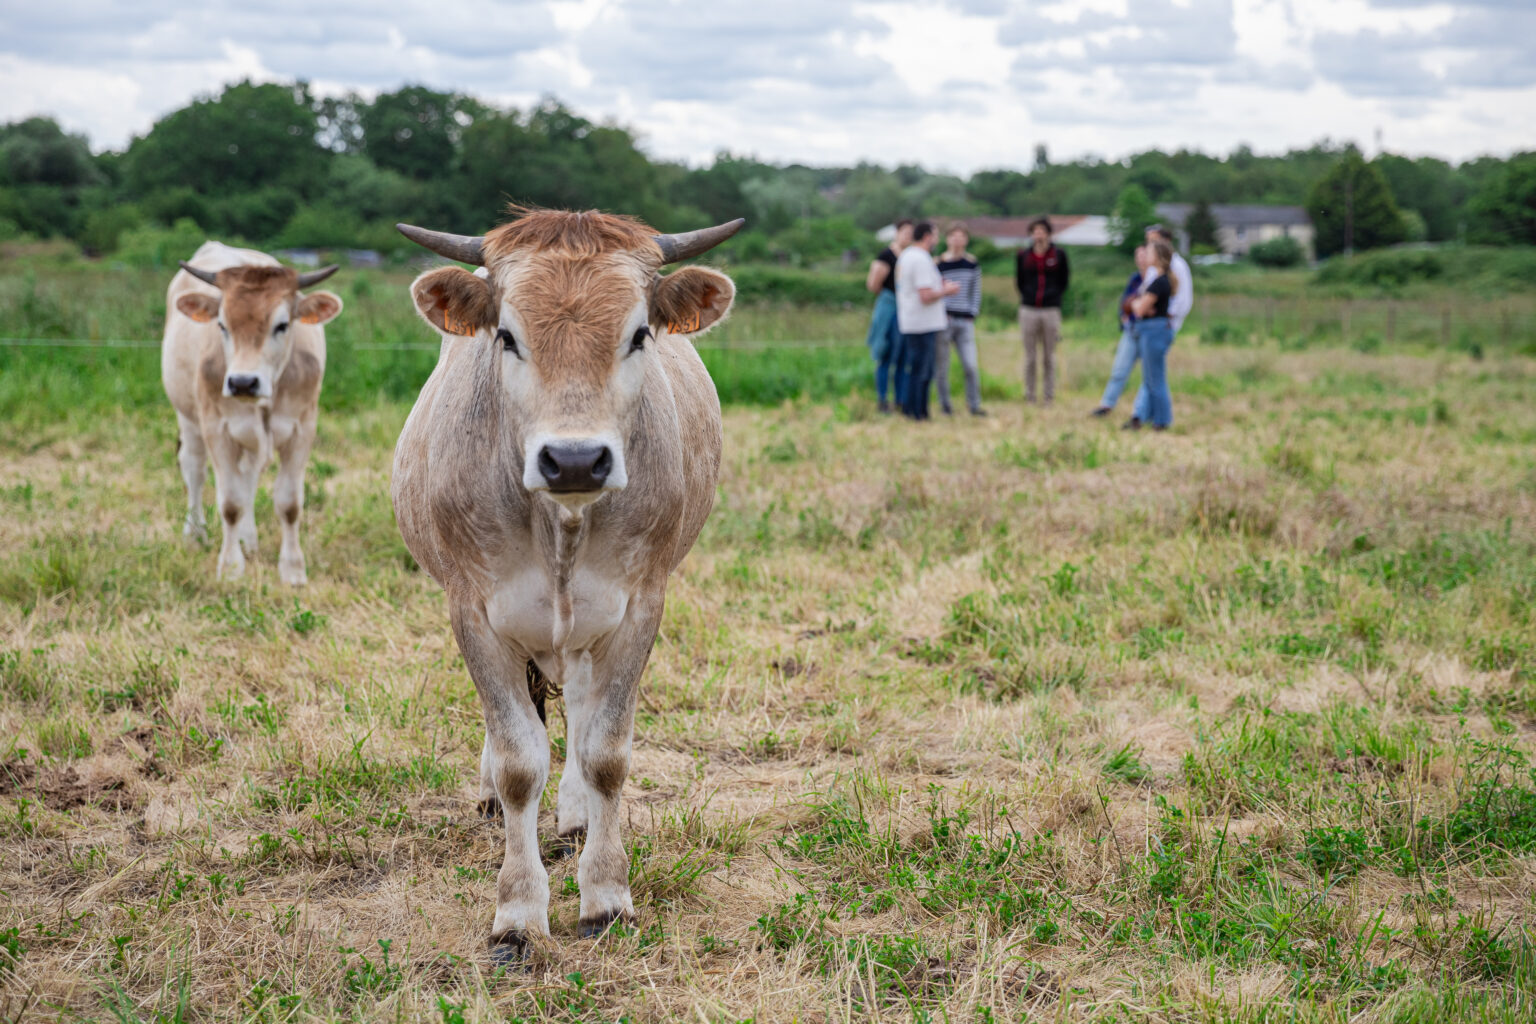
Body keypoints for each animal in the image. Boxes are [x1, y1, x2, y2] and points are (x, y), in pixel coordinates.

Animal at [387, 208, 740, 964]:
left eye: (639, 333)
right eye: (506, 335)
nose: (575, 459)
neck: (561, 525)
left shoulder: (638, 607)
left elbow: (606, 752)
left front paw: (605, 896)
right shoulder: (473, 611)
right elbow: (520, 759)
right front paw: (518, 912)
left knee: (577, 707)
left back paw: (575, 813)